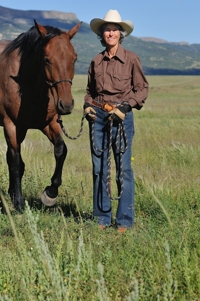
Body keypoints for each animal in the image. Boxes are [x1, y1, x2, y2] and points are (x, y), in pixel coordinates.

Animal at [0, 19, 82, 210]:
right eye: (46, 60)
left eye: (74, 58)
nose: (66, 105)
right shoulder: (10, 124)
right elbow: (15, 161)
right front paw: (19, 202)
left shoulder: (48, 123)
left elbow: (61, 150)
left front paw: (50, 193)